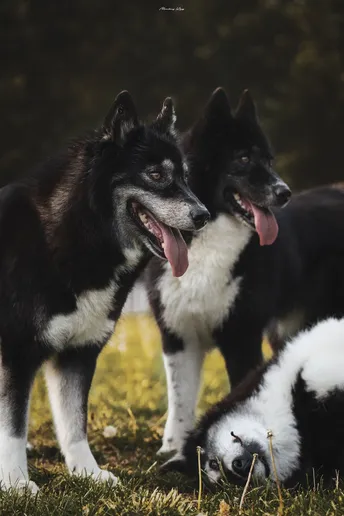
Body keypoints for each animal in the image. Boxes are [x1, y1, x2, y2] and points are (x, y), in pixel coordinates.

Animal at [0, 91, 210, 492]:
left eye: (186, 177)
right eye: (156, 175)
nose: (203, 215)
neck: (80, 233)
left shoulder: (78, 354)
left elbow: (74, 423)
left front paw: (88, 472)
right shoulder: (15, 353)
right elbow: (13, 426)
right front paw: (17, 483)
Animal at [144, 86, 344, 458]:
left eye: (270, 160)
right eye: (243, 159)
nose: (284, 192)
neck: (207, 240)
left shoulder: (241, 337)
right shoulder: (179, 337)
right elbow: (180, 401)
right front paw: (174, 448)